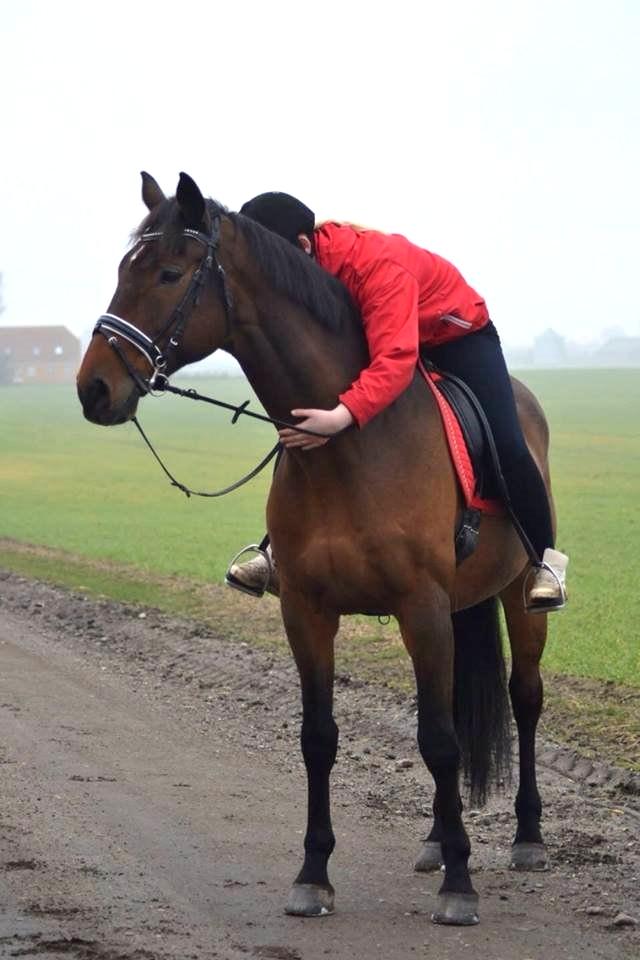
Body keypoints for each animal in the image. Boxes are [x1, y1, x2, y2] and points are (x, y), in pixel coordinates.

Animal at [77, 171, 552, 924]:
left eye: (168, 274)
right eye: (125, 270)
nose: (93, 387)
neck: (350, 446)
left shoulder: (421, 608)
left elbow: (440, 741)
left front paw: (459, 884)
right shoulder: (305, 610)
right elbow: (320, 738)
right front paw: (314, 873)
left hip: (513, 598)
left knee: (524, 697)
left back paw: (527, 838)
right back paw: (434, 839)